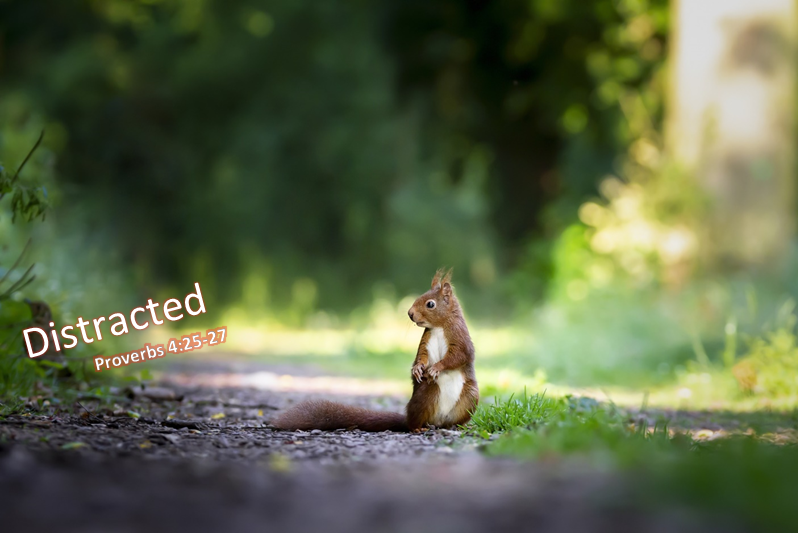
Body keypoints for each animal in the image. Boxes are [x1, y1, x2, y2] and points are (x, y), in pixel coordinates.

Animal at [273, 268, 479, 432]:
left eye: (430, 304)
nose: (410, 314)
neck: (439, 327)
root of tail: (437, 421)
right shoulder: (425, 341)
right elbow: (422, 356)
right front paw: (417, 369)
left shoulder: (460, 338)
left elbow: (459, 356)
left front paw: (436, 367)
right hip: (427, 395)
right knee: (414, 421)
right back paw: (418, 428)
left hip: (470, 397)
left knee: (453, 419)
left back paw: (457, 426)